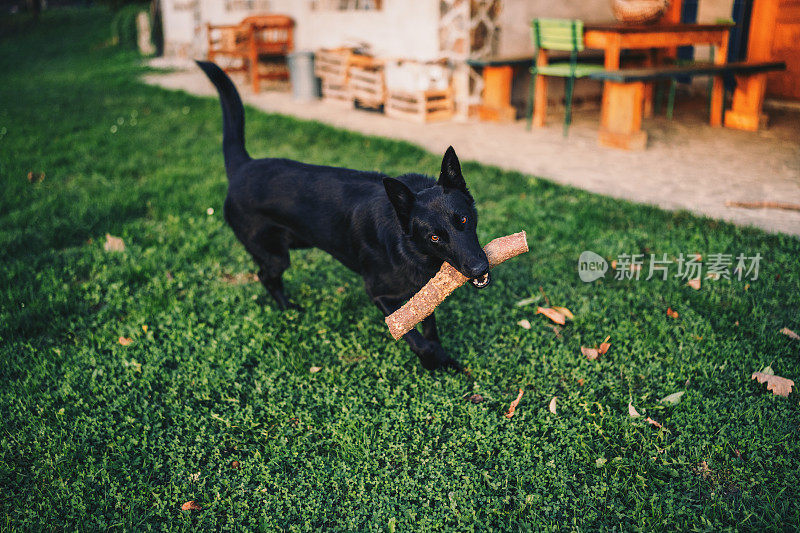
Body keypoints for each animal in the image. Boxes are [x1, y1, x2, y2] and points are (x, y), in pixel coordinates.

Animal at [197, 61, 490, 370]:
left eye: (464, 220)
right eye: (434, 237)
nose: (480, 269)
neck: (407, 246)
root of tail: (243, 167)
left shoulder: (420, 291)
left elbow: (429, 326)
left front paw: (443, 359)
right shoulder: (379, 294)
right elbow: (413, 335)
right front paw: (431, 358)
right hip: (274, 255)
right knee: (266, 276)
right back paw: (288, 308)